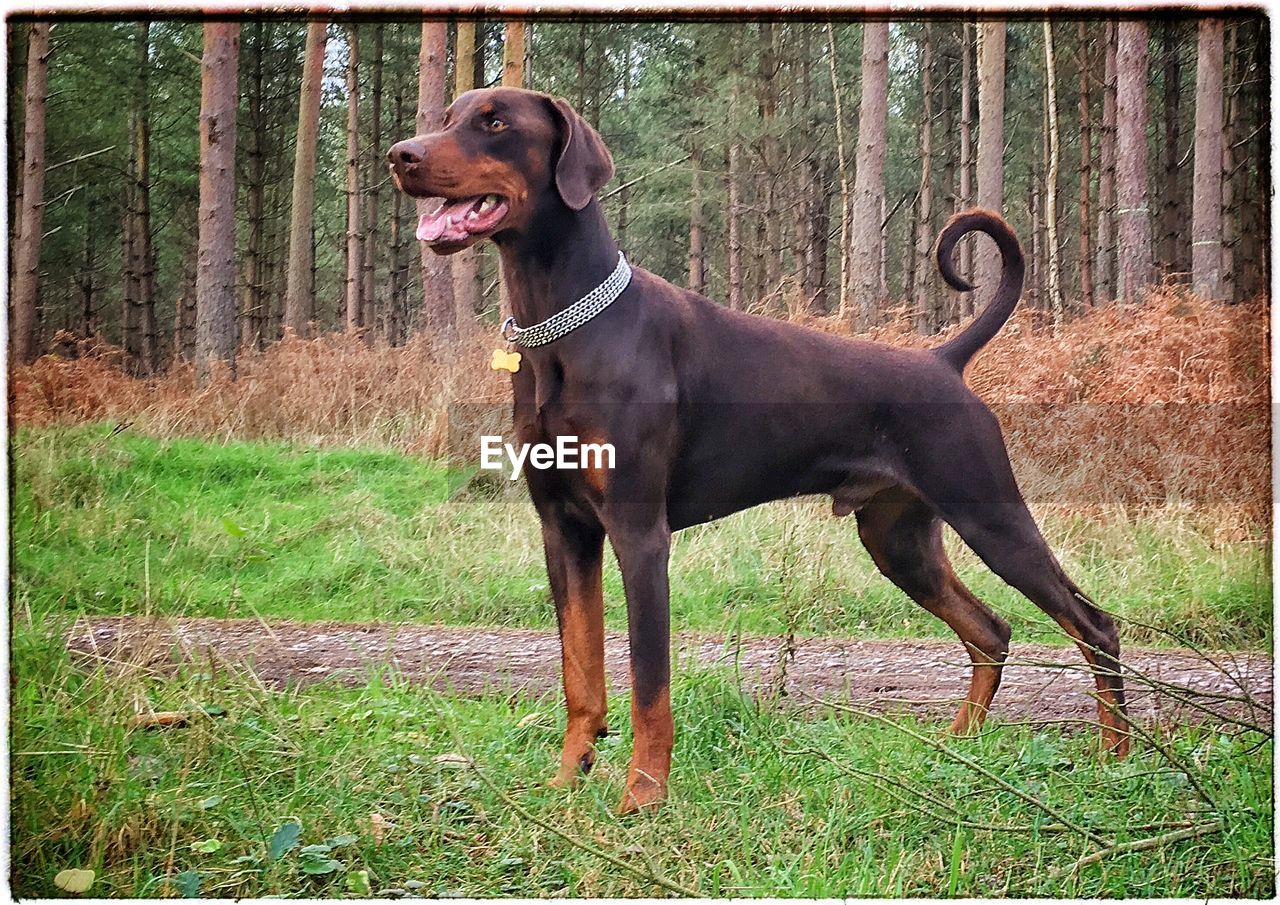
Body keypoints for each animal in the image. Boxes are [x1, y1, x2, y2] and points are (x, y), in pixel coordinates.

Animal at [389, 88, 1131, 819]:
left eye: (496, 123)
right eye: (449, 117)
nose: (401, 155)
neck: (565, 331)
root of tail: (944, 361)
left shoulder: (639, 532)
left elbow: (649, 683)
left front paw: (643, 797)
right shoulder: (564, 529)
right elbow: (581, 674)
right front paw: (568, 781)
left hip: (988, 512)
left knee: (1094, 623)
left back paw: (1116, 760)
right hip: (898, 539)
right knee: (991, 629)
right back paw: (957, 745)